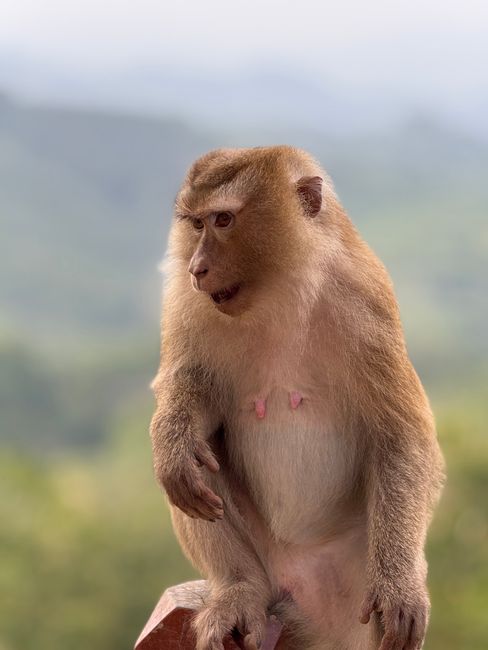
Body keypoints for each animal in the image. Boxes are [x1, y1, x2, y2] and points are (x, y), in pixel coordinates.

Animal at [150, 146, 444, 650]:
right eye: (195, 224)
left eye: (223, 220)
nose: (196, 268)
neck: (279, 291)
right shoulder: (189, 307)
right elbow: (190, 394)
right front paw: (174, 443)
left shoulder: (365, 303)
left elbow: (401, 436)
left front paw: (399, 588)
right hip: (269, 570)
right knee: (199, 465)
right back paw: (238, 592)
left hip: (355, 584)